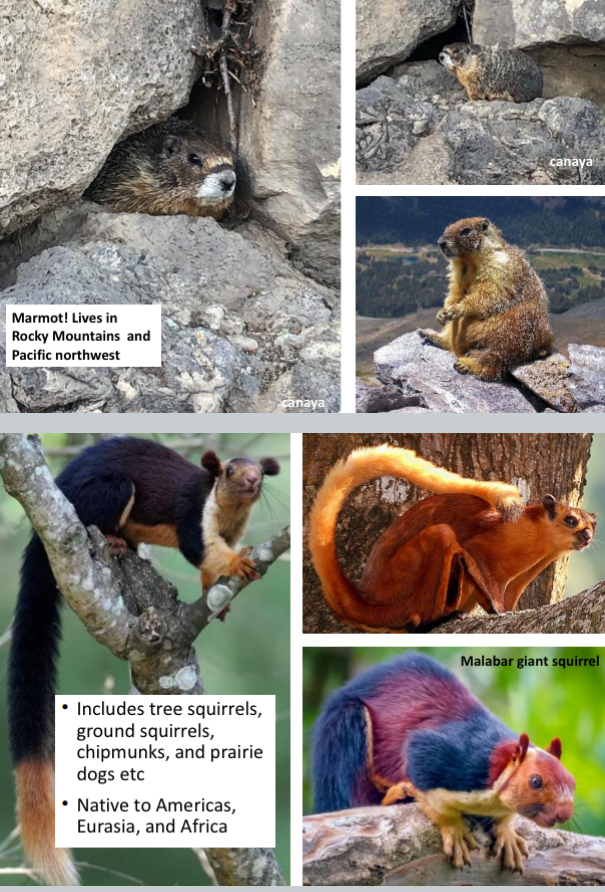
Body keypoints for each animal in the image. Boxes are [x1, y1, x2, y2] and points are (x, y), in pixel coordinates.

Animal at [7, 436, 279, 886]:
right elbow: (200, 551)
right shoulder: (194, 516)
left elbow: (209, 571)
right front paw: (238, 562)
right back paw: (114, 541)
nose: (252, 481)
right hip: (110, 491)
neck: (227, 511)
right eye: (229, 472)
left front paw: (217, 597)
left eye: (258, 470)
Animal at [308, 444, 596, 632]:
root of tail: (368, 601)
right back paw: (430, 621)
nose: (587, 536)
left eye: (592, 525)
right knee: (442, 536)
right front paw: (494, 608)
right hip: (399, 581)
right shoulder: (489, 544)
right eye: (571, 520)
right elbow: (477, 562)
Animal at [312, 652, 575, 872]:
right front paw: (454, 829)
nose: (564, 813)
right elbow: (428, 785)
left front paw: (507, 832)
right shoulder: (447, 756)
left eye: (573, 782)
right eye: (535, 781)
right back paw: (397, 795)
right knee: (354, 799)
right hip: (345, 731)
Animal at [419, 217, 553, 380]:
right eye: (446, 228)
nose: (440, 242)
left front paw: (457, 309)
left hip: (513, 330)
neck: (469, 261)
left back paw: (467, 364)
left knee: (496, 356)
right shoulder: (459, 273)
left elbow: (488, 291)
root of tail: (544, 343)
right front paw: (443, 312)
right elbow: (456, 290)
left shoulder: (500, 267)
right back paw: (431, 336)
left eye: (466, 230)